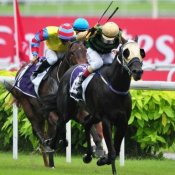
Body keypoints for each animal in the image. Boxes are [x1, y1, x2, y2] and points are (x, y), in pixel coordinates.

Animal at [49, 38, 145, 174]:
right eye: (125, 52)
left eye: (141, 52)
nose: (138, 71)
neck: (115, 86)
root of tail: (70, 69)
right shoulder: (106, 119)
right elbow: (112, 150)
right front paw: (107, 162)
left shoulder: (123, 120)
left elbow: (116, 149)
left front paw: (103, 159)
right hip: (68, 110)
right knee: (60, 123)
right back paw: (52, 144)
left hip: (94, 114)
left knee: (87, 123)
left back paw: (88, 155)